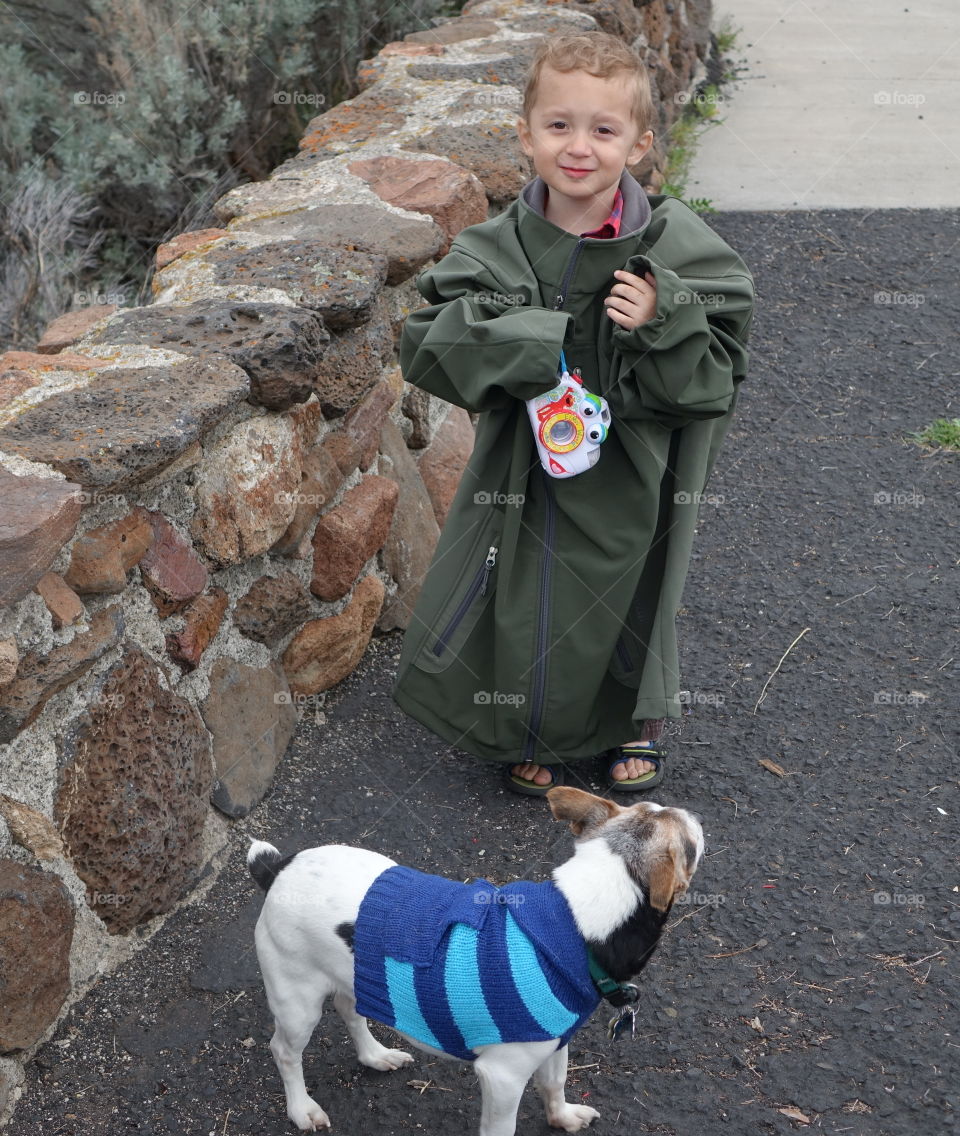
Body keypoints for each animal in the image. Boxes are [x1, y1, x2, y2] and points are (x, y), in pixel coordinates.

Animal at [248, 786, 704, 1131]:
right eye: (690, 845)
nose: (694, 813)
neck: (574, 920)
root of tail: (279, 867)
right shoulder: (502, 1078)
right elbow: (503, 1126)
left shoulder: (554, 1042)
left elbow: (554, 1083)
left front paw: (562, 1116)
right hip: (297, 1004)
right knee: (284, 1051)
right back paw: (301, 1108)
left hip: (355, 976)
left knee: (350, 1009)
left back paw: (375, 1055)